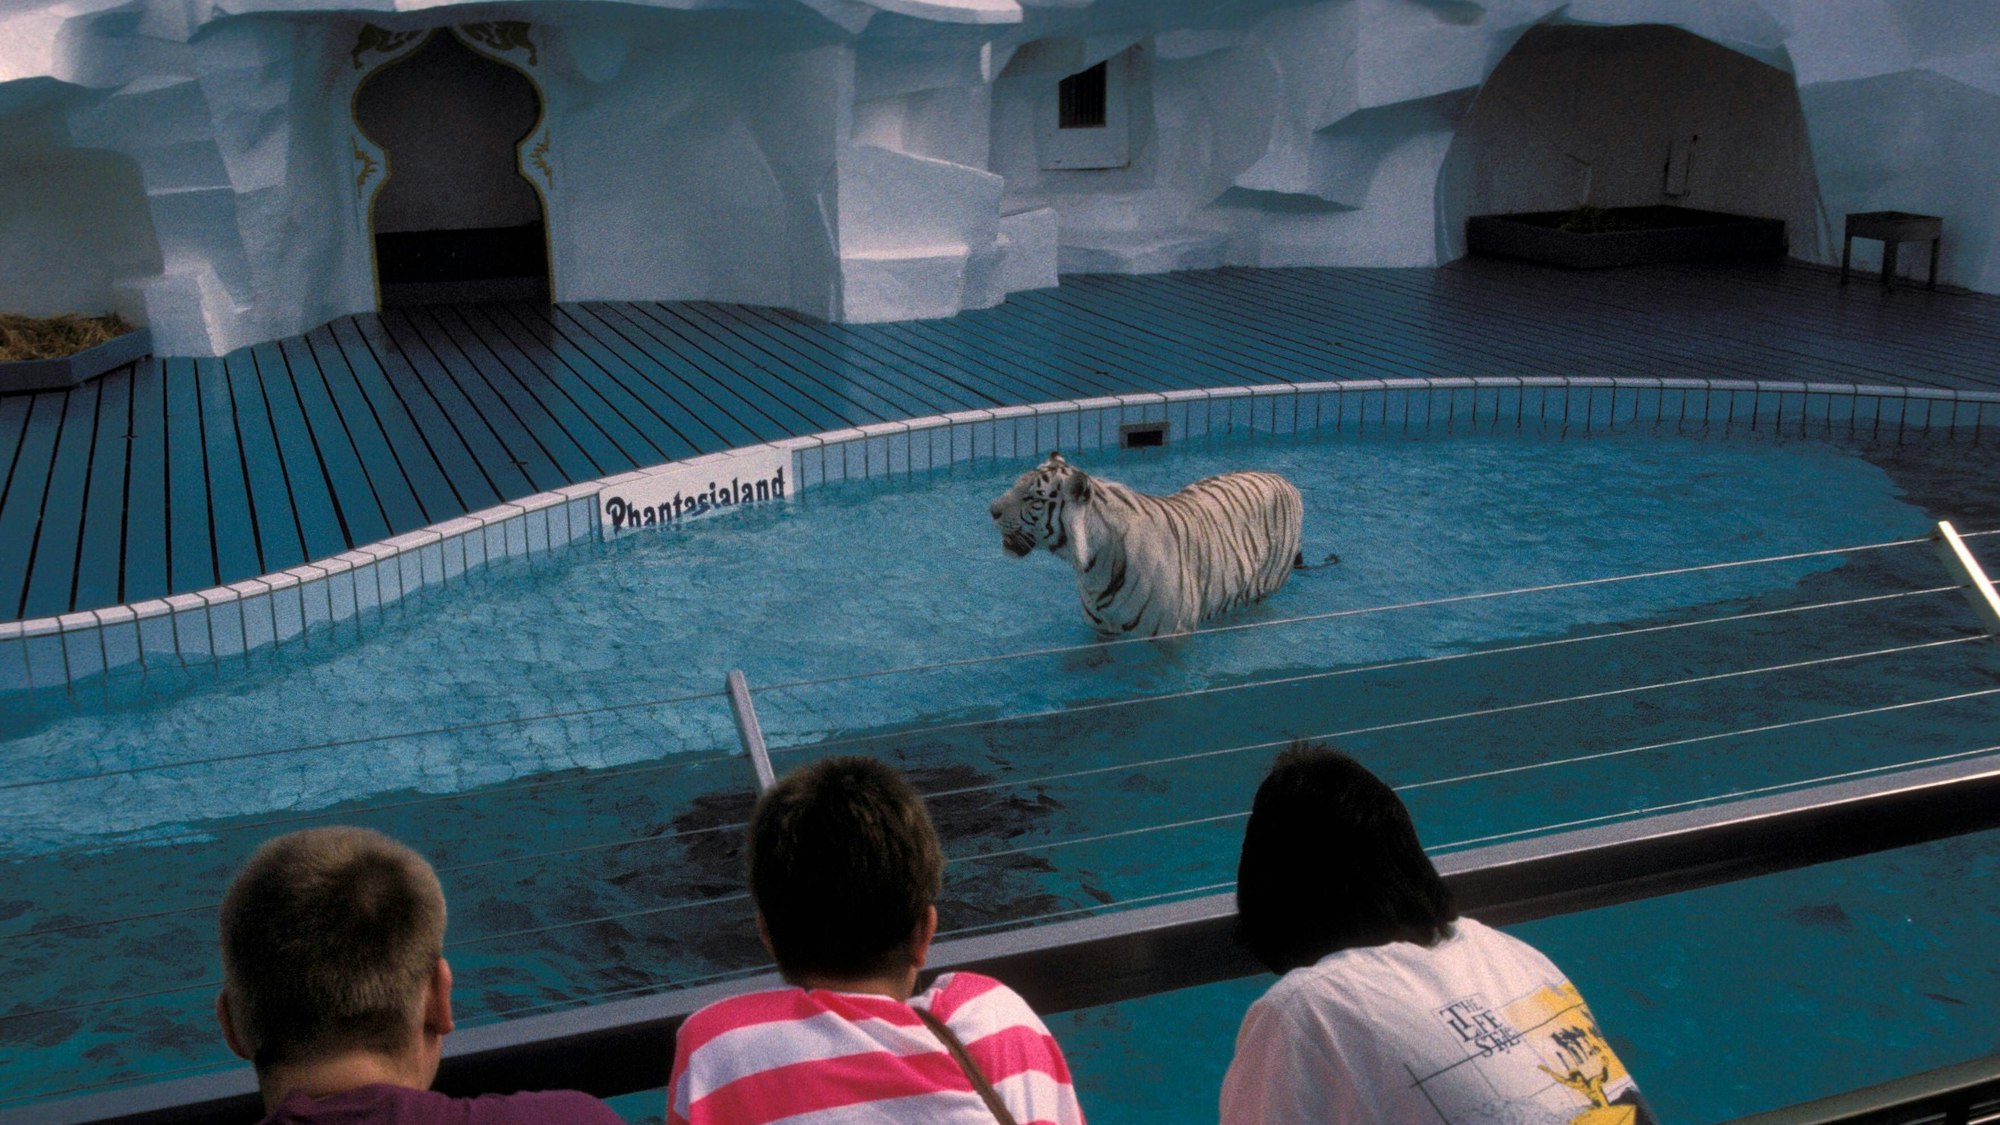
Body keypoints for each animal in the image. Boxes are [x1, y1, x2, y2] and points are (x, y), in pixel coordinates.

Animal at [988, 451, 1307, 637]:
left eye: (1033, 498)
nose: (991, 510)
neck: (1090, 568)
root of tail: (1285, 479)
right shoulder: (1102, 632)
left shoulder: (1169, 635)